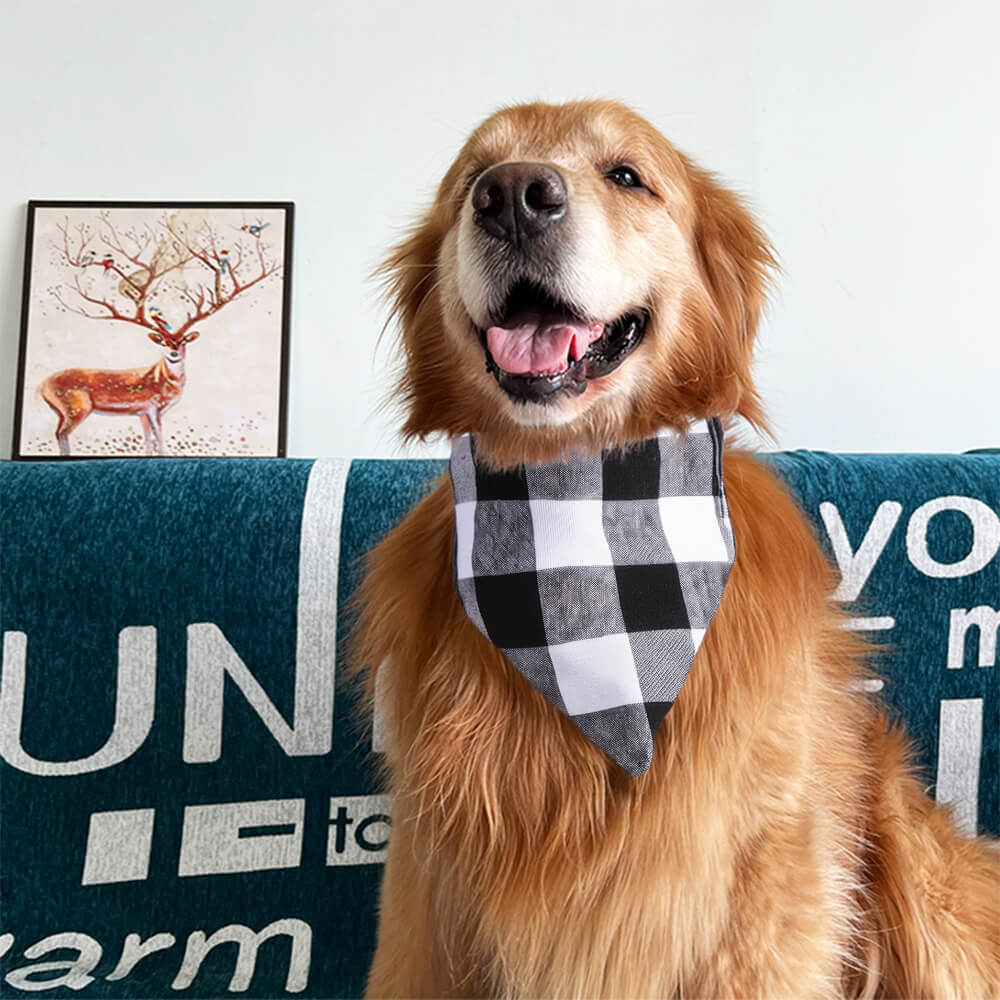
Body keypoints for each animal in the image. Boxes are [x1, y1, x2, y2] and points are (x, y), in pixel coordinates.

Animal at [40, 328, 200, 458]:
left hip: (61, 412)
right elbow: (159, 436)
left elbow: (148, 439)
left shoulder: (142, 413)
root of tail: (42, 386)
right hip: (78, 407)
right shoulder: (152, 408)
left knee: (57, 432)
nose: (173, 354)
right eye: (162, 342)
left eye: (183, 341)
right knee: (63, 433)